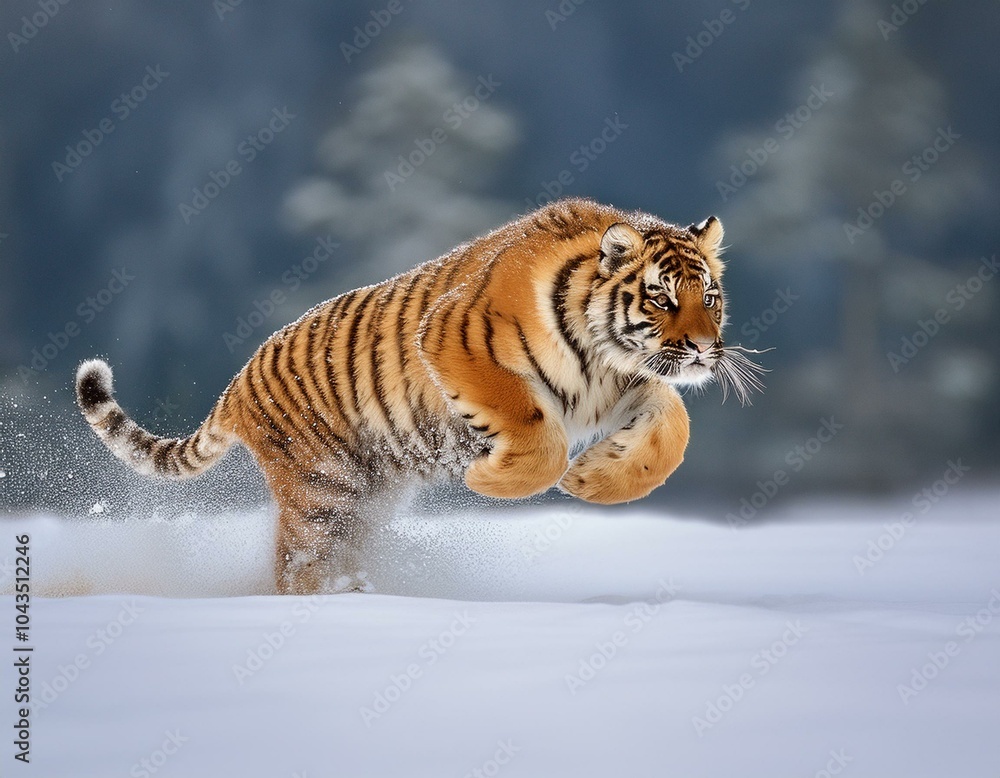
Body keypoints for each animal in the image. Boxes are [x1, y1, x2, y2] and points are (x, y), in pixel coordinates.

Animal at [76, 197, 764, 595]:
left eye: (710, 296)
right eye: (662, 297)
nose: (703, 349)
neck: (605, 354)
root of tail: (237, 381)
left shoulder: (621, 385)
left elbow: (672, 425)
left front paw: (594, 477)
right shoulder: (457, 344)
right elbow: (535, 432)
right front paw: (493, 478)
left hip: (363, 498)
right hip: (319, 490)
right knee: (295, 564)